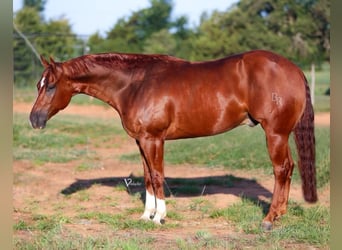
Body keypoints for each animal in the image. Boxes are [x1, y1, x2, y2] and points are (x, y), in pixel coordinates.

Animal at [30, 49, 316, 229]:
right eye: (38, 85)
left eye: (51, 86)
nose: (34, 119)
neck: (135, 84)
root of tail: (293, 69)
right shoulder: (141, 141)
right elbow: (147, 177)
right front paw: (146, 215)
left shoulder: (154, 139)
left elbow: (157, 176)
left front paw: (160, 217)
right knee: (288, 169)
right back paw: (279, 215)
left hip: (275, 133)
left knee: (281, 169)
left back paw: (269, 219)